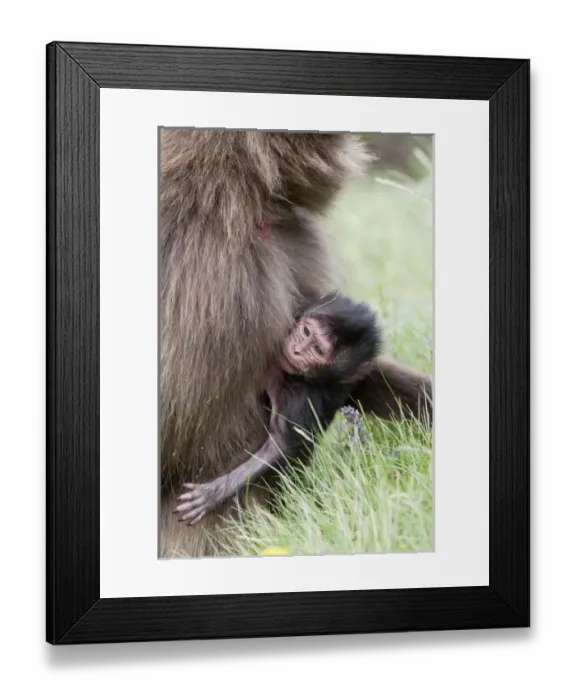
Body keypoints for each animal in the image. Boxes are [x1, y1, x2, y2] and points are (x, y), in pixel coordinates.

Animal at [172, 294, 382, 525]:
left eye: (318, 350)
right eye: (306, 332)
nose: (297, 349)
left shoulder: (301, 396)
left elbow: (280, 446)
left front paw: (213, 494)